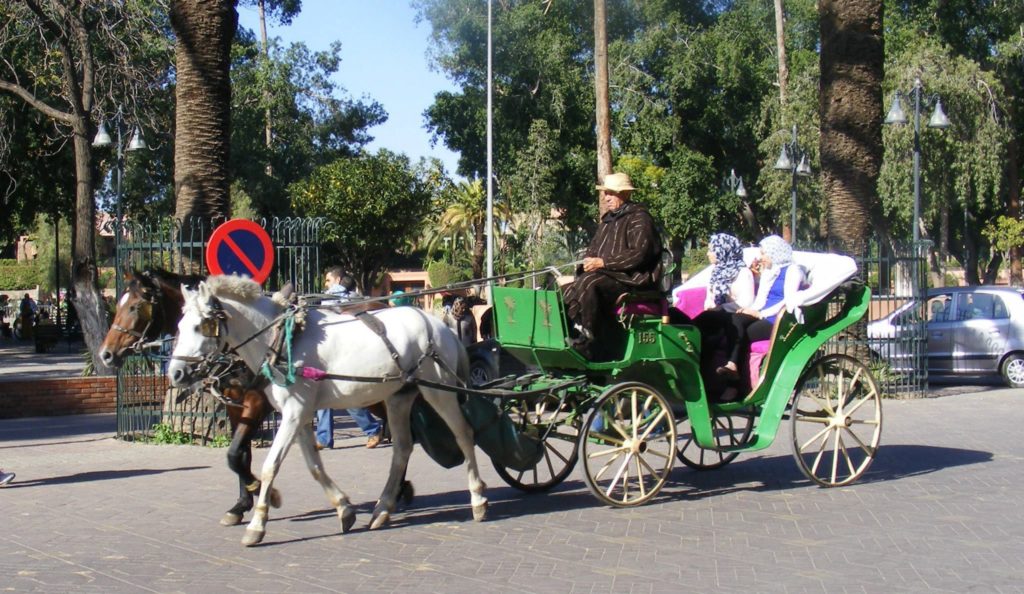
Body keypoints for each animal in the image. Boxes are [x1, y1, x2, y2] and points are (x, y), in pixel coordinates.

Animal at [167, 276, 487, 544]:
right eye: (179, 326)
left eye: (200, 326)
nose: (176, 373)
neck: (281, 339)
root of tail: (438, 325)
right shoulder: (298, 414)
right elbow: (314, 466)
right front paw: (344, 508)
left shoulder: (294, 411)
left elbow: (270, 465)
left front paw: (257, 524)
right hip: (398, 396)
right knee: (402, 448)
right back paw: (384, 507)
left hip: (439, 390)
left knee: (463, 434)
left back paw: (477, 498)